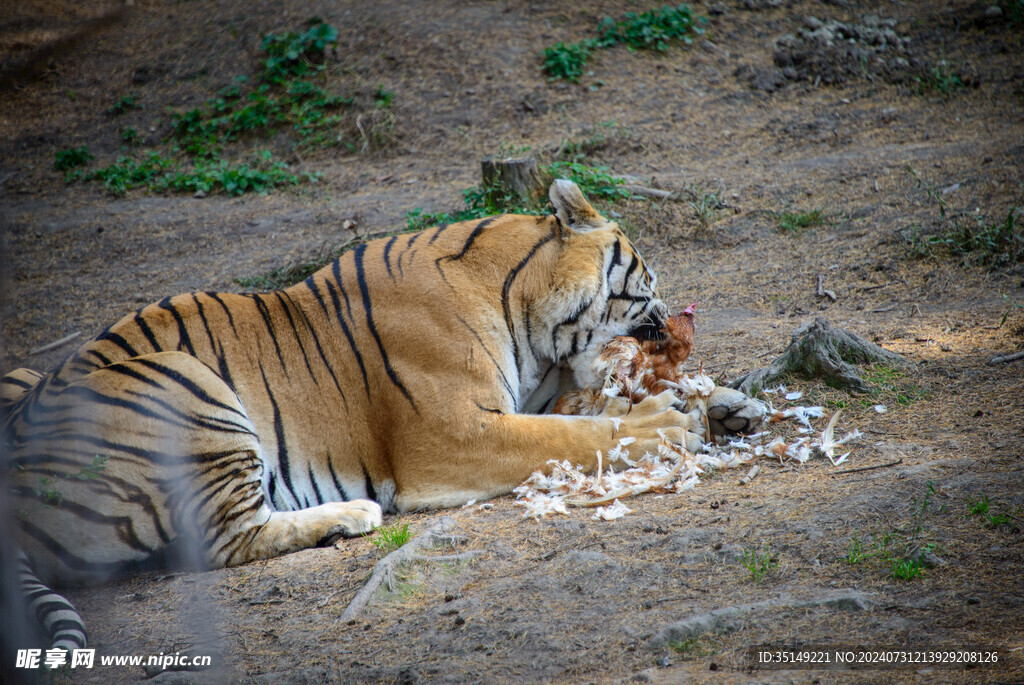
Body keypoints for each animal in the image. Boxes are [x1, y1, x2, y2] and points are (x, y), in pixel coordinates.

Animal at [2, 179, 770, 651]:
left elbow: (598, 405)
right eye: (648, 279)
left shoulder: (532, 393)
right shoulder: (459, 432)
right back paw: (350, 514)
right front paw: (668, 423)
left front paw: (729, 403)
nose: (678, 314)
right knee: (224, 539)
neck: (529, 314)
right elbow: (581, 431)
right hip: (187, 383)